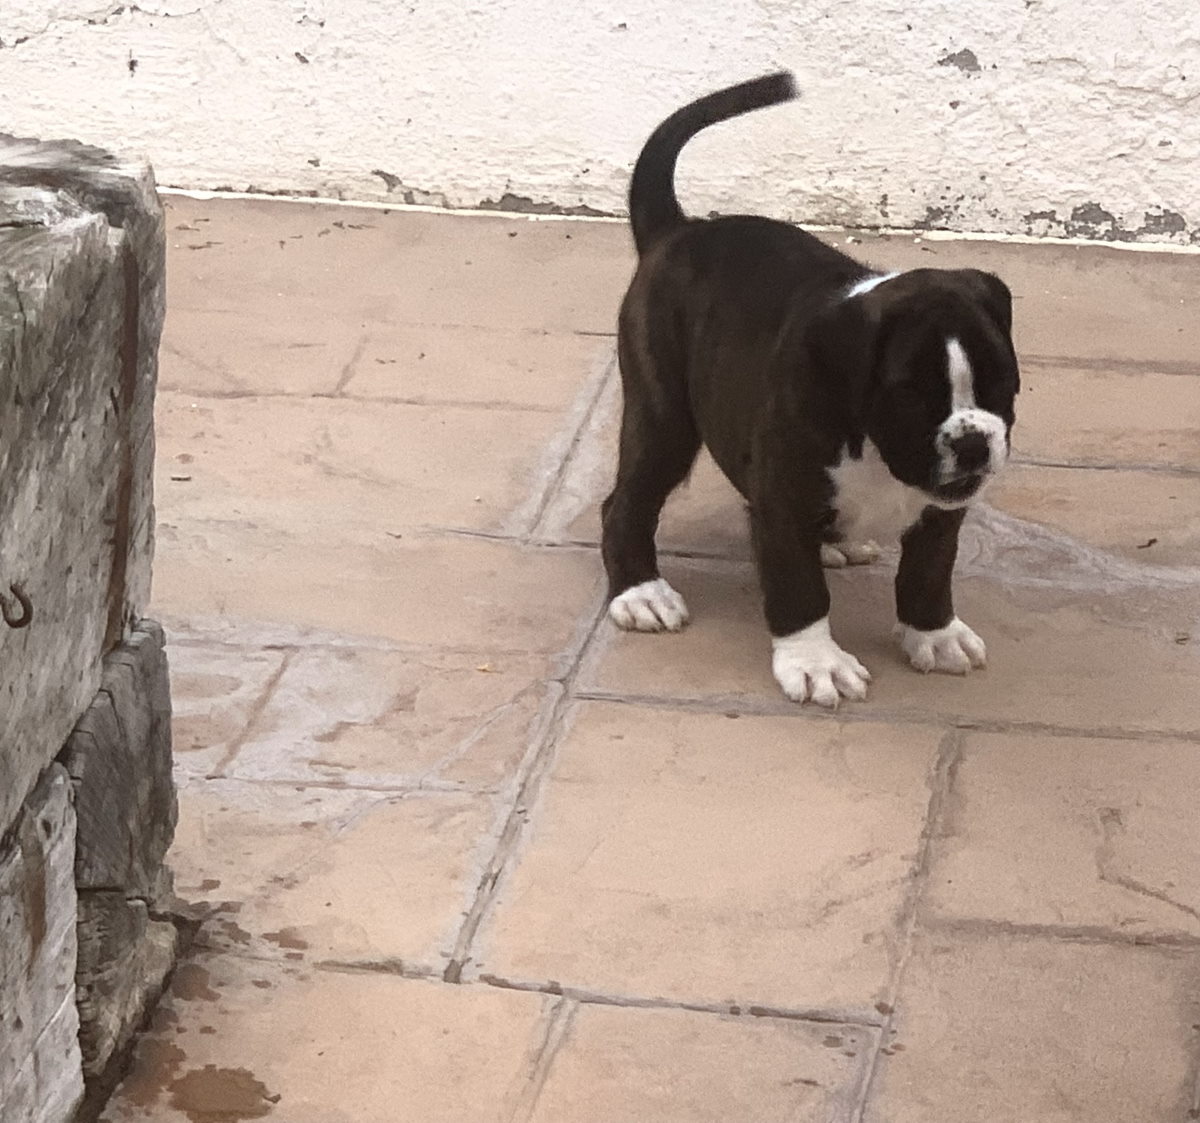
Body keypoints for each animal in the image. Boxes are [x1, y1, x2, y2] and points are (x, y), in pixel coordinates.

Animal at [601, 71, 1019, 707]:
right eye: (912, 398)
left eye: (1004, 385)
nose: (974, 444)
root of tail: (678, 231)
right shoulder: (783, 499)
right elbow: (798, 587)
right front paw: (816, 661)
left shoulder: (940, 511)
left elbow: (928, 572)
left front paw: (934, 634)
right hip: (663, 418)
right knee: (626, 502)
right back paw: (641, 591)